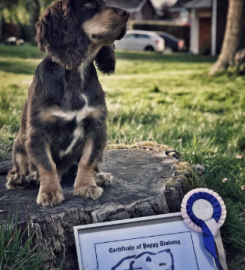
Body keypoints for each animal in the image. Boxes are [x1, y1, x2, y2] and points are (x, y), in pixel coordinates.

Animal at [5, 0, 129, 206]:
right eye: (88, 4)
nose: (127, 13)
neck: (75, 73)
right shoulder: (38, 132)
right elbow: (47, 165)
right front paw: (49, 192)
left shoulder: (96, 127)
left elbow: (87, 161)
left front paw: (86, 186)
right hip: (19, 143)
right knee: (21, 166)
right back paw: (20, 179)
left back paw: (99, 176)